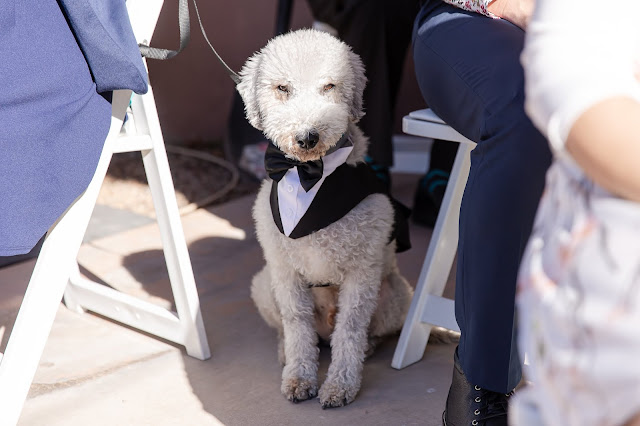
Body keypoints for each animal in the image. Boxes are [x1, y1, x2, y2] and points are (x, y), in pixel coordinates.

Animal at [238, 28, 412, 408]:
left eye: (330, 86)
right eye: (282, 88)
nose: (307, 137)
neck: (310, 177)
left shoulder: (361, 273)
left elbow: (351, 330)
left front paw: (340, 385)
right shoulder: (285, 273)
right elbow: (296, 325)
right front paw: (299, 377)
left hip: (395, 294)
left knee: (365, 332)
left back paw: (369, 346)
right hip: (263, 285)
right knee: (290, 330)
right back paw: (284, 353)